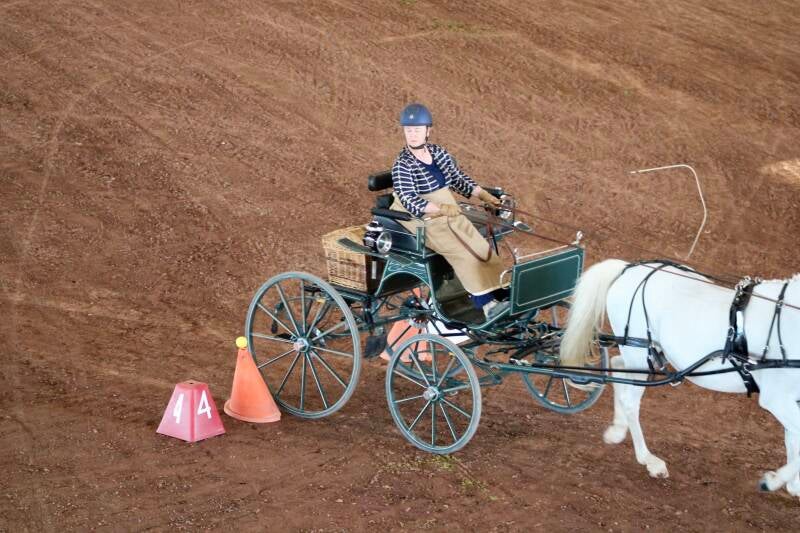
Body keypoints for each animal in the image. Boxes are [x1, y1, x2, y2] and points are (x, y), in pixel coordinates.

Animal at [560, 259, 800, 496]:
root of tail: (628, 268)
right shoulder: (776, 399)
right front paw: (772, 481)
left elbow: (793, 441)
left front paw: (793, 485)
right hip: (639, 351)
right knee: (630, 400)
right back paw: (650, 461)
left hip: (642, 353)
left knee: (618, 366)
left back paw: (617, 431)